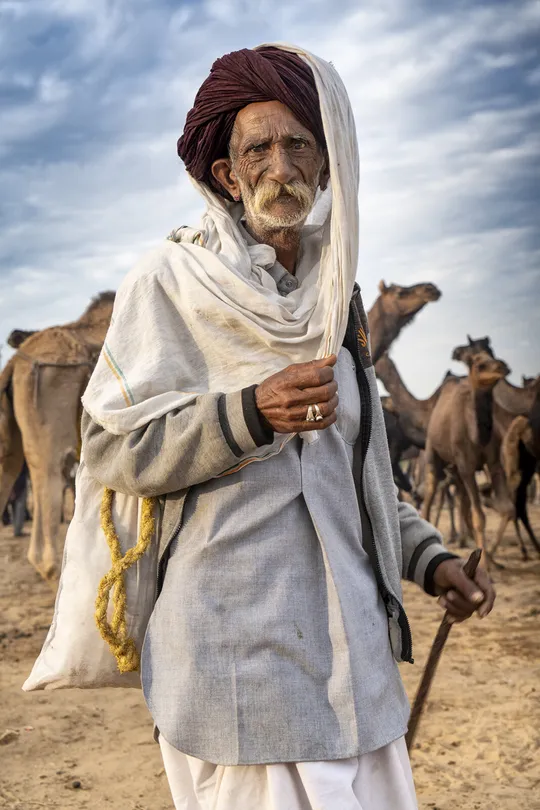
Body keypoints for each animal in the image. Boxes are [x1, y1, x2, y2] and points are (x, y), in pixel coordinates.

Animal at [422, 350, 513, 562]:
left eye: (492, 357)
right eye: (479, 364)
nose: (503, 367)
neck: (476, 435)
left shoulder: (494, 463)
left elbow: (507, 508)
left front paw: (491, 557)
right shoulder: (466, 465)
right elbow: (480, 515)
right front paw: (486, 562)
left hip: (456, 469)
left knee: (462, 500)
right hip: (433, 451)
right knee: (430, 490)